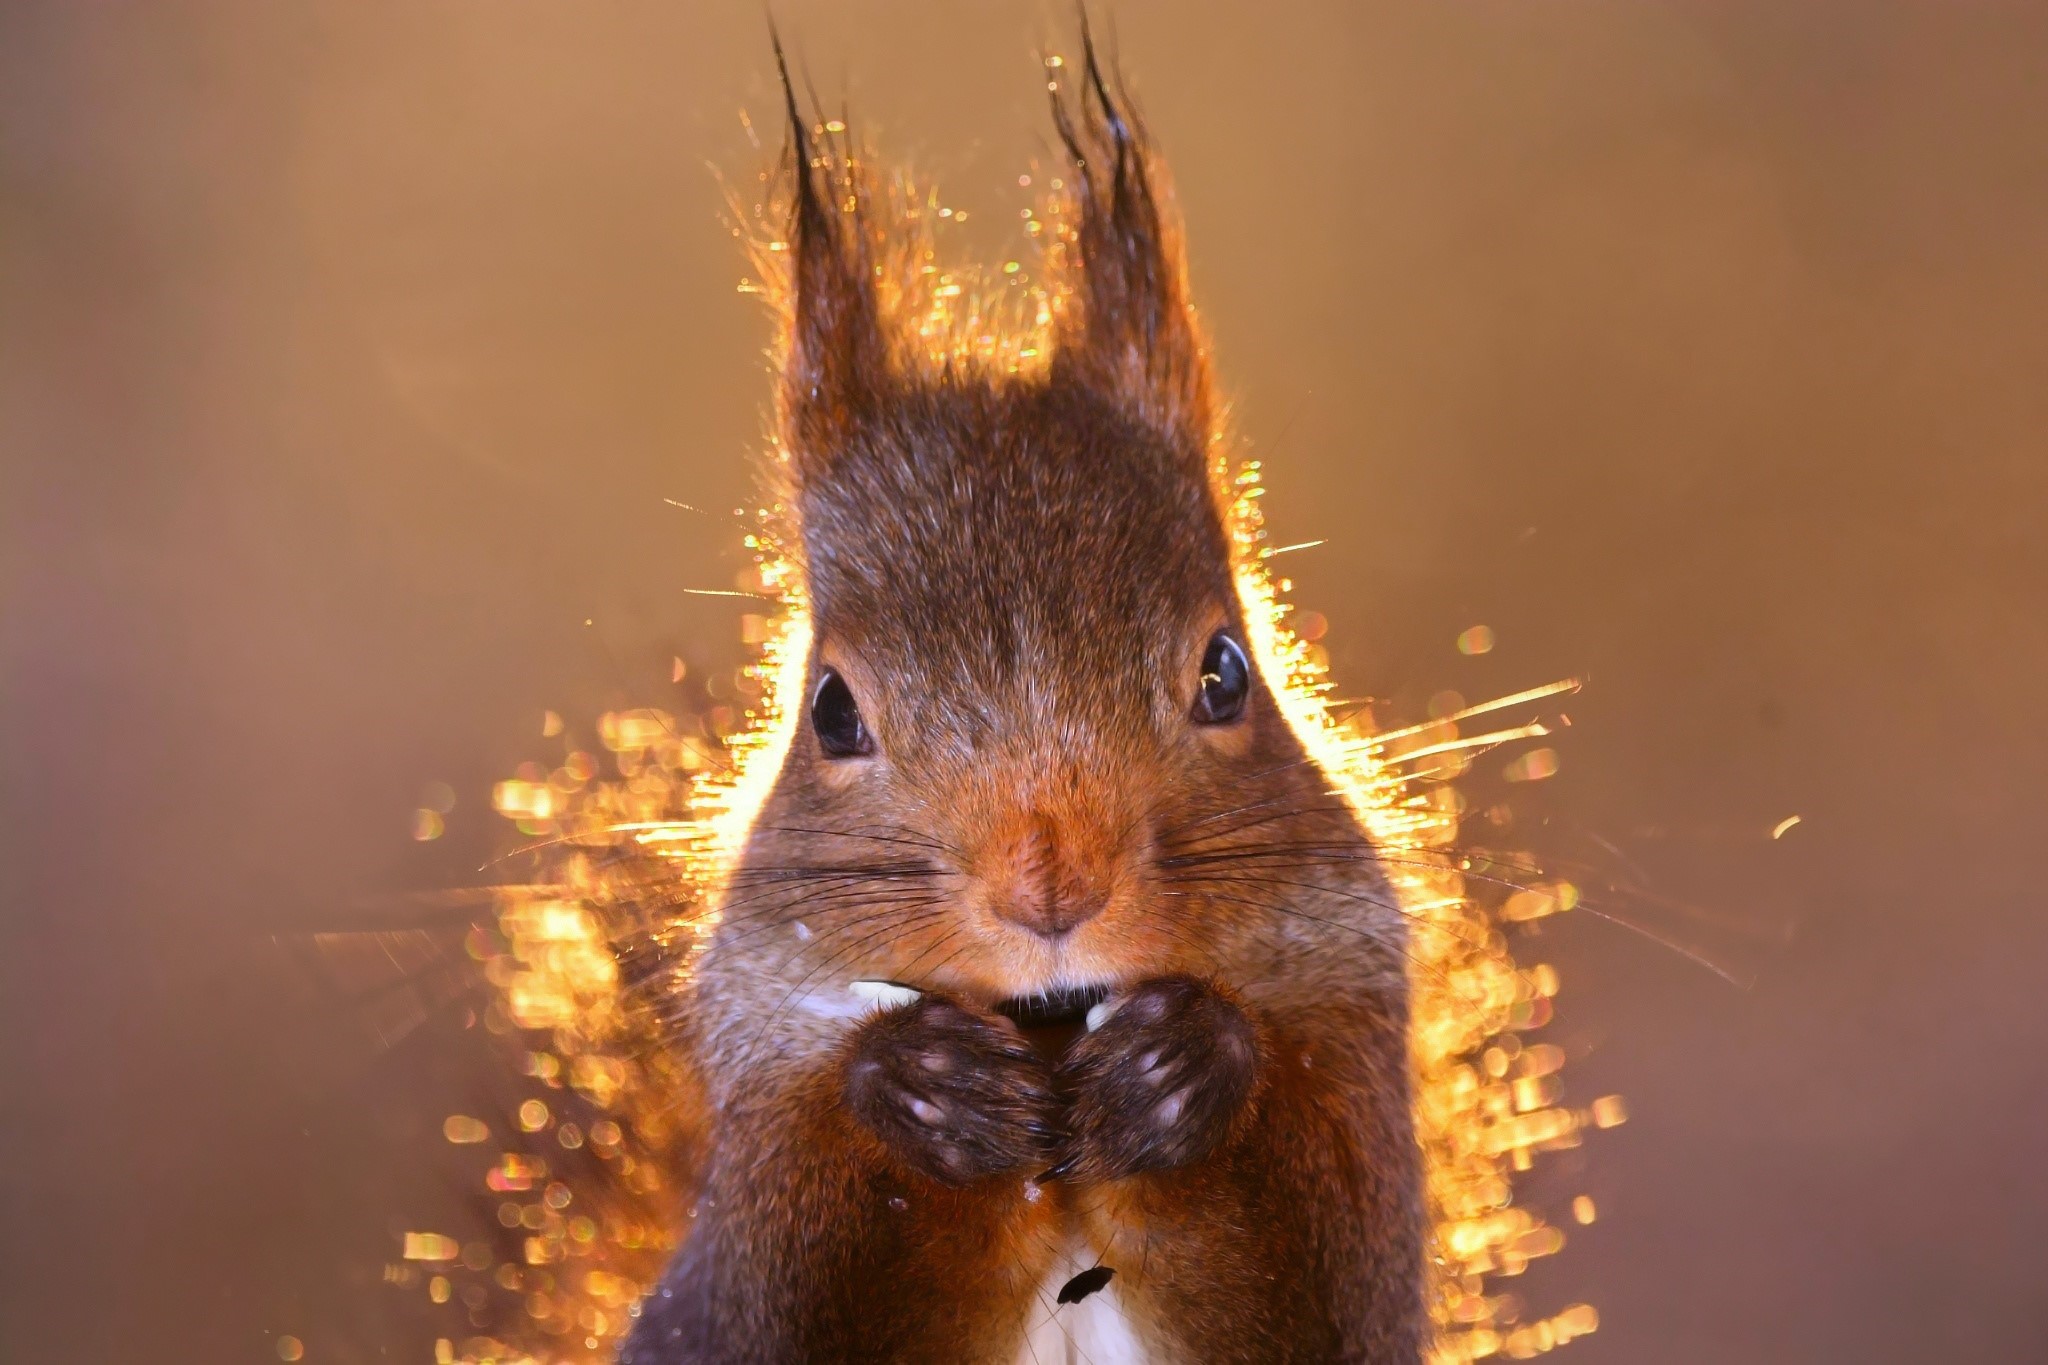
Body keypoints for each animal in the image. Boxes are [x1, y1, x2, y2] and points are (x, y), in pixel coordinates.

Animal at [618, 33, 1426, 1365]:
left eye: (1225, 673)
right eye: (829, 710)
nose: (1050, 886)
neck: (1051, 1030)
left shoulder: (1354, 1062)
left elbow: (1311, 1293)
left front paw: (1180, 1073)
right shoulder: (758, 1172)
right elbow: (817, 1287)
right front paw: (921, 1093)